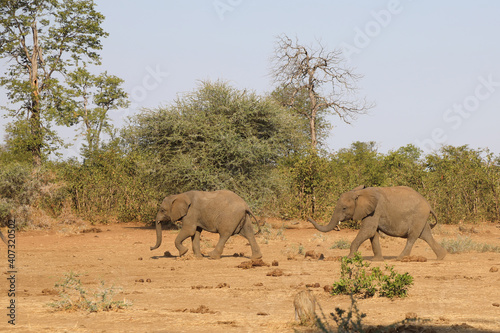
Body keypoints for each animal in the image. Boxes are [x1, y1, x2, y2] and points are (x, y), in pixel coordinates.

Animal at [306, 184, 448, 260]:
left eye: (344, 208)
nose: (307, 218)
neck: (360, 193)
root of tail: (429, 205)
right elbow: (373, 234)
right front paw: (377, 260)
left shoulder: (375, 210)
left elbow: (368, 231)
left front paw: (349, 258)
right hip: (421, 218)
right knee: (426, 235)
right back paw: (441, 257)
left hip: (418, 216)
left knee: (412, 237)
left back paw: (400, 258)